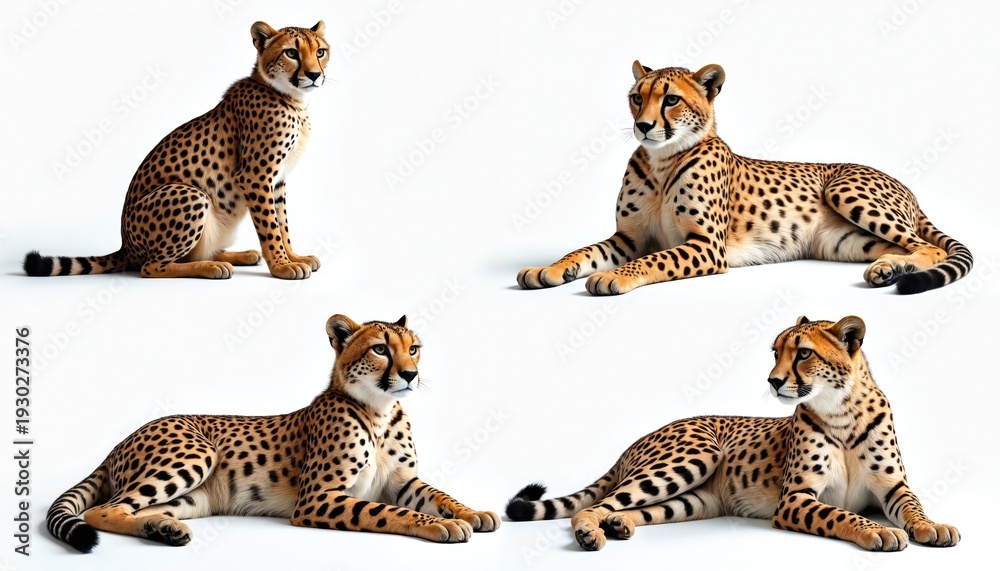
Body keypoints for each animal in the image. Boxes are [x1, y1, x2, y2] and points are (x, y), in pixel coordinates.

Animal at [24, 21, 330, 280]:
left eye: (321, 52)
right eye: (291, 52)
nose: (315, 75)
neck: (292, 99)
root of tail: (125, 246)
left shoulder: (277, 180)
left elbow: (282, 223)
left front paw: (294, 257)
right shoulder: (255, 177)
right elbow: (271, 228)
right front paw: (281, 266)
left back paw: (239, 255)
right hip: (191, 193)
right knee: (151, 267)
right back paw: (211, 267)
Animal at [46, 314, 499, 552]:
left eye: (414, 348)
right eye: (380, 349)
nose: (410, 374)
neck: (379, 411)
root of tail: (119, 442)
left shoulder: (402, 481)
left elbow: (440, 494)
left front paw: (472, 512)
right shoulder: (318, 498)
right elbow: (389, 512)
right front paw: (437, 525)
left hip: (195, 498)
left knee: (135, 508)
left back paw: (162, 529)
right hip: (196, 455)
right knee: (102, 510)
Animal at [506, 315, 959, 552]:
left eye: (804, 353)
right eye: (776, 352)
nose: (774, 381)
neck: (841, 410)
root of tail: (640, 438)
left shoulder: (893, 487)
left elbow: (914, 506)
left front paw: (933, 526)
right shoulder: (794, 498)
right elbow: (841, 513)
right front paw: (878, 530)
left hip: (696, 500)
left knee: (628, 507)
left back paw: (617, 525)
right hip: (695, 457)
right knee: (596, 505)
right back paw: (589, 532)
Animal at [517, 62, 972, 295]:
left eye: (670, 99)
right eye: (636, 98)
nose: (643, 126)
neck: (662, 160)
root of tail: (906, 186)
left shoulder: (705, 246)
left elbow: (651, 259)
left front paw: (614, 275)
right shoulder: (627, 238)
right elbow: (582, 250)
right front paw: (548, 269)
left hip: (844, 190)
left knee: (928, 247)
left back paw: (891, 270)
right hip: (845, 241)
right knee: (903, 247)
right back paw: (888, 269)